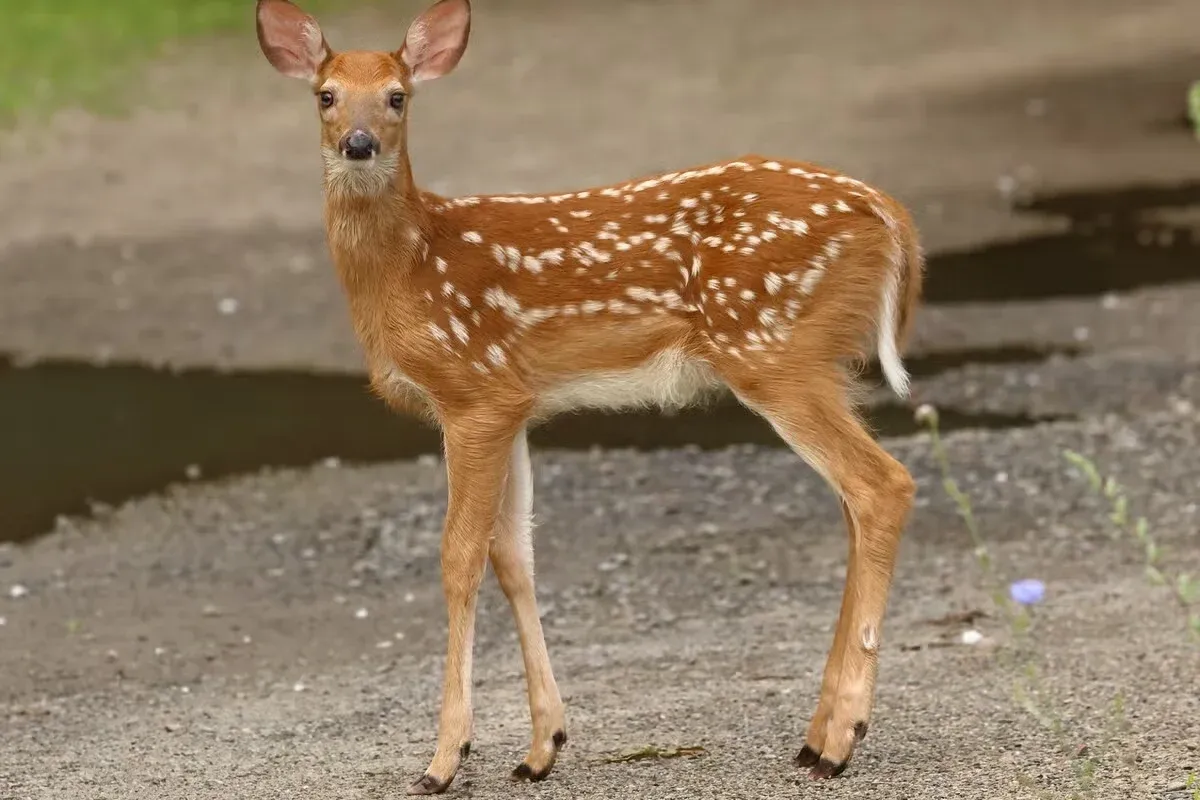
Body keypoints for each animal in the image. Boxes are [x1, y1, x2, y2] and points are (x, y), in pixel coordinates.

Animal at [255, 0, 924, 793]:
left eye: (397, 96)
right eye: (325, 95)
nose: (358, 145)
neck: (406, 271)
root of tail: (888, 212)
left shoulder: (472, 392)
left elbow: (458, 556)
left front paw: (445, 758)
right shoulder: (514, 402)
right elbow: (513, 555)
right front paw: (542, 746)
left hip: (773, 348)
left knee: (882, 485)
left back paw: (839, 740)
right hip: (811, 360)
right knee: (855, 503)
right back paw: (816, 734)